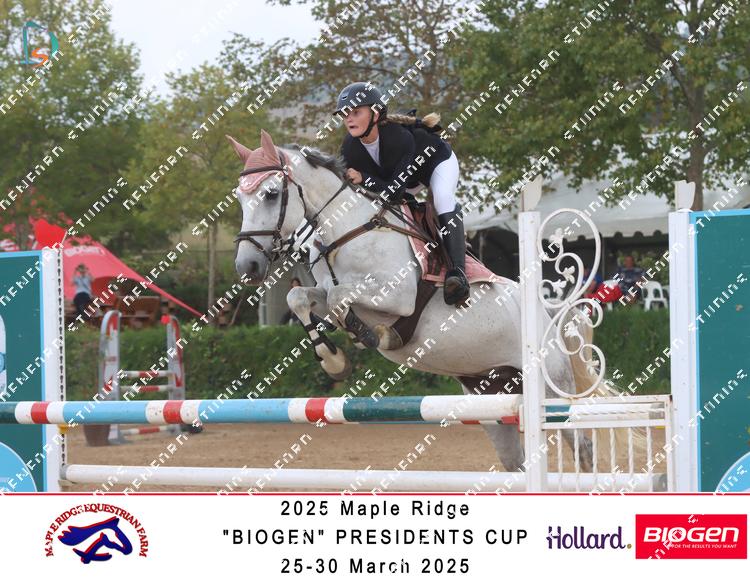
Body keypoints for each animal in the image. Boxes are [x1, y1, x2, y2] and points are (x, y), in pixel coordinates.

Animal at [228, 129, 602, 474]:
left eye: (271, 194)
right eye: (240, 199)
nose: (247, 267)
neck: (348, 230)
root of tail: (549, 314)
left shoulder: (397, 296)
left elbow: (339, 297)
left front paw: (369, 337)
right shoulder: (325, 291)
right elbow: (301, 297)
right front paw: (334, 359)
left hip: (551, 388)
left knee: (582, 447)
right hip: (490, 395)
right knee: (516, 461)